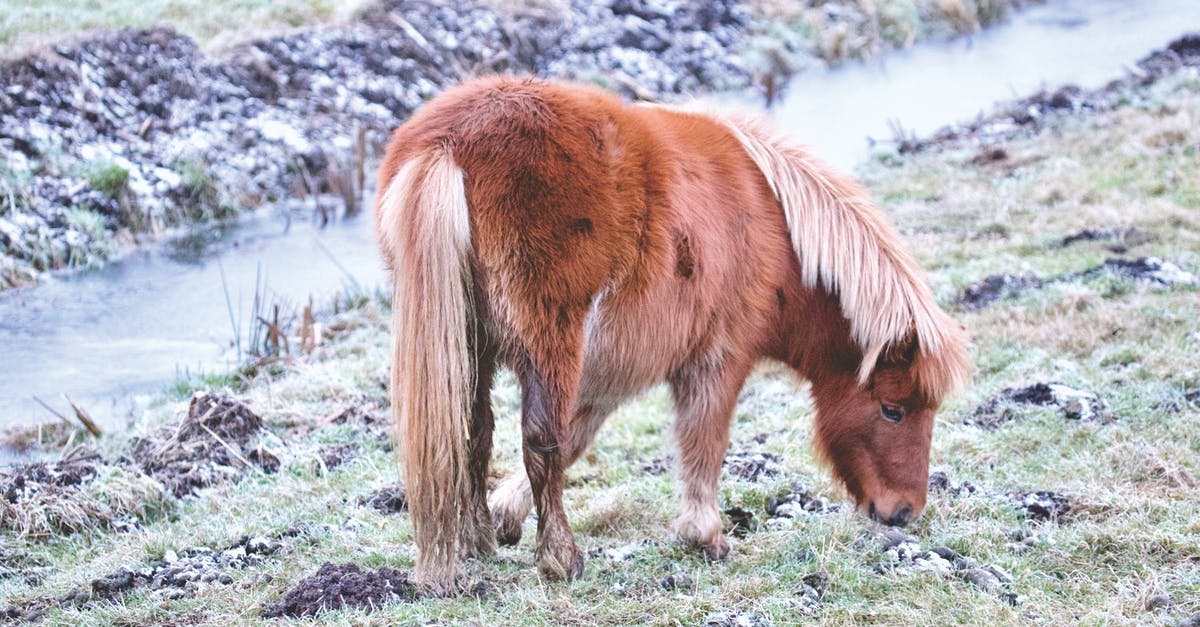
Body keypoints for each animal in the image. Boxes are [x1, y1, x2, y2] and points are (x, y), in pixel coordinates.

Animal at [376, 75, 974, 593]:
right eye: (893, 409)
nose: (903, 512)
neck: (775, 230)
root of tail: (449, 144)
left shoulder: (610, 369)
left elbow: (579, 435)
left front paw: (505, 516)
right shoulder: (717, 360)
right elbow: (701, 440)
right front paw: (705, 536)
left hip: (471, 347)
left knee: (473, 434)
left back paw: (477, 540)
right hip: (550, 345)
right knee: (538, 441)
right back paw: (561, 560)